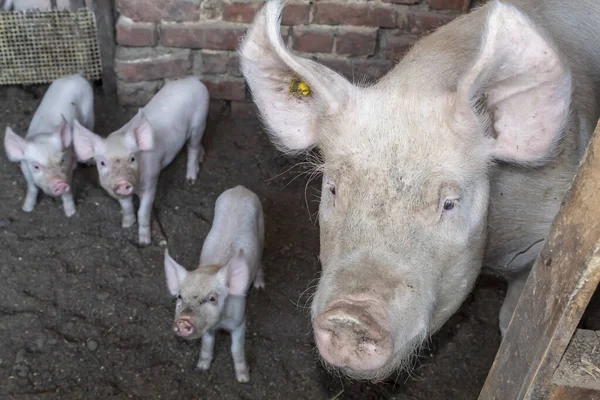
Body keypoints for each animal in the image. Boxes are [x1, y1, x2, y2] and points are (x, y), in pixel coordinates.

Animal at [3, 73, 95, 217]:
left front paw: (71, 214)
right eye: (36, 166)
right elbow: (32, 189)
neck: (43, 136)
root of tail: (75, 75)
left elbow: (68, 193)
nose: (59, 183)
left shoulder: (67, 171)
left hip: (89, 112)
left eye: (62, 160)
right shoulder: (26, 171)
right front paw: (27, 209)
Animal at [72, 76, 210, 245]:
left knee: (193, 147)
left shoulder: (151, 182)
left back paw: (190, 180)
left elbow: (143, 212)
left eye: (132, 158)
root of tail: (193, 80)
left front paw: (144, 242)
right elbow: (126, 207)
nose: (122, 182)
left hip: (200, 122)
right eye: (102, 163)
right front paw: (126, 225)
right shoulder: (120, 194)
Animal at [165, 186, 266, 382]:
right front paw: (201, 368)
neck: (221, 324)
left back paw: (260, 286)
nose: (183, 320)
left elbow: (236, 349)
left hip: (262, 229)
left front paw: (244, 378)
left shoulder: (240, 322)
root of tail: (241, 188)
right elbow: (207, 344)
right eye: (179, 296)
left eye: (212, 298)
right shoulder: (207, 328)